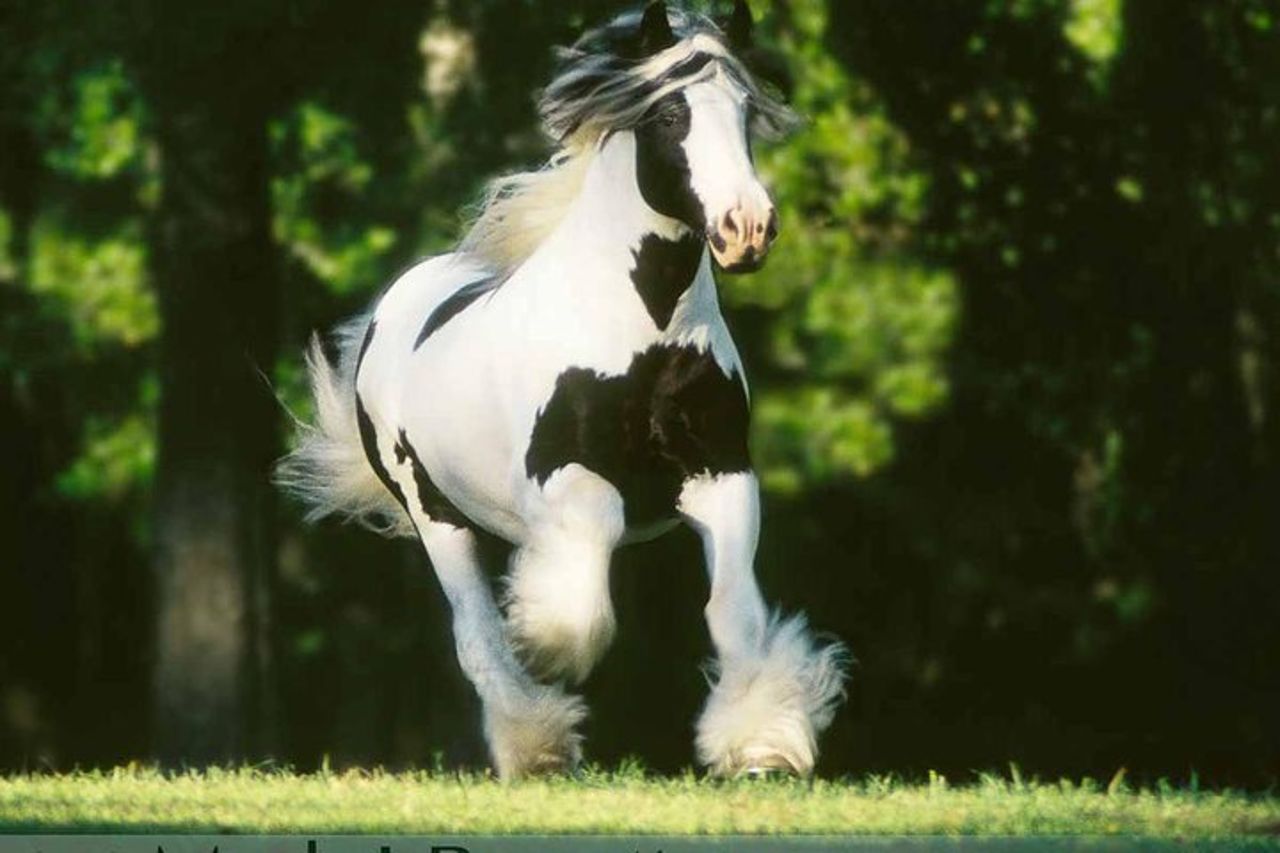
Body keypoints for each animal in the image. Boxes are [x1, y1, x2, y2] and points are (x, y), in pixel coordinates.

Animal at [278, 0, 848, 780]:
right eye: (669, 114)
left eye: (743, 110)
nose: (747, 227)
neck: (646, 335)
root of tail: (395, 304)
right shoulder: (566, 477)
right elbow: (580, 593)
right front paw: (544, 645)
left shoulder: (722, 473)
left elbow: (733, 611)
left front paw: (761, 742)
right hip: (436, 515)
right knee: (476, 634)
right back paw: (536, 741)